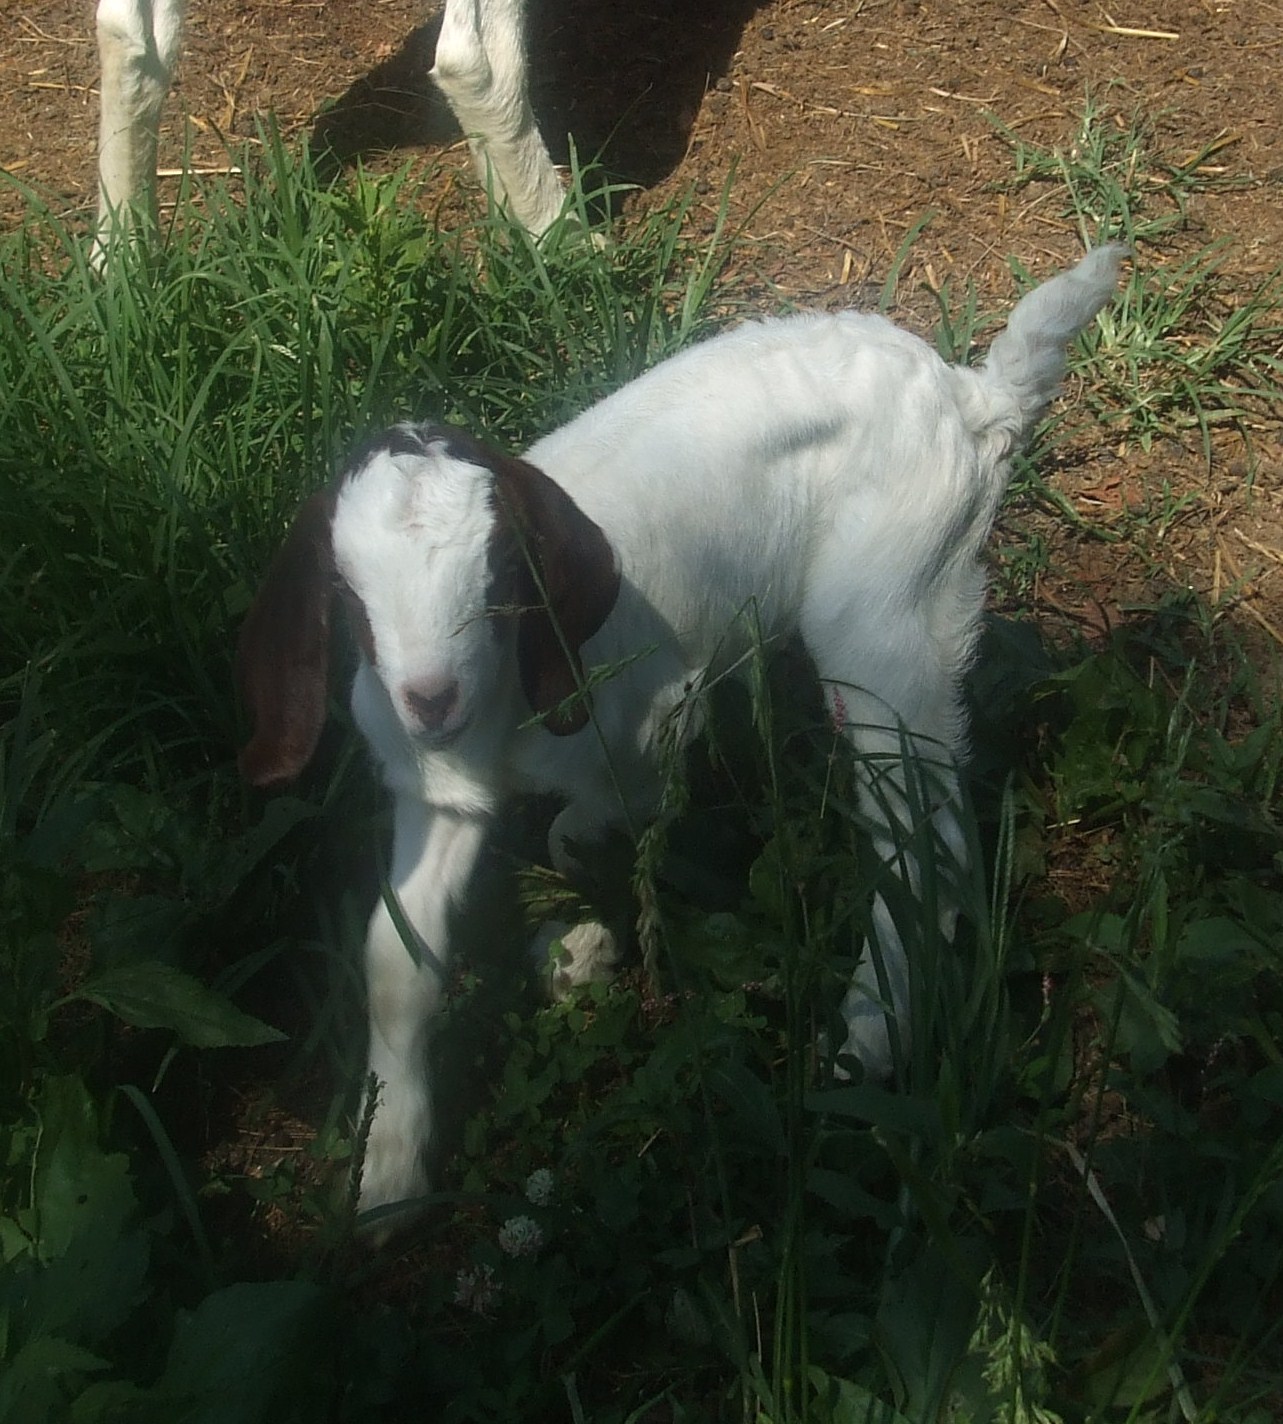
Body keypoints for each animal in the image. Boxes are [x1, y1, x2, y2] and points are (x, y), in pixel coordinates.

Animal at [237, 246, 1123, 1224]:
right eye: (347, 592)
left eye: (501, 572)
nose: (429, 698)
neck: (504, 705)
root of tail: (971, 396)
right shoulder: (438, 793)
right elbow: (397, 958)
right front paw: (387, 1172)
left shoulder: (660, 717)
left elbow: (587, 828)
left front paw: (585, 940)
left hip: (889, 611)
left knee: (922, 837)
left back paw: (867, 1035)